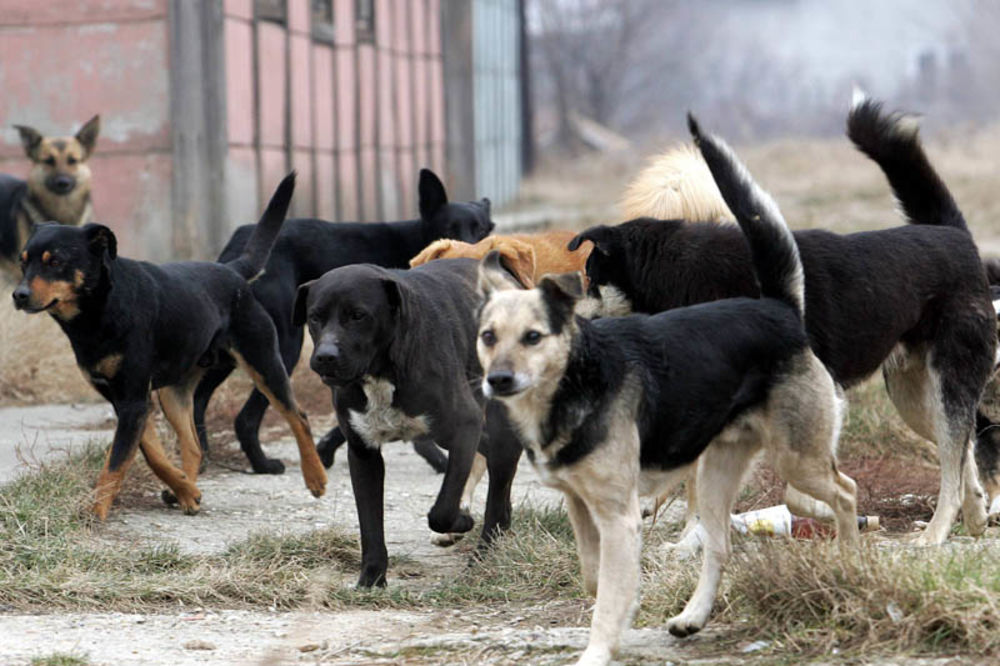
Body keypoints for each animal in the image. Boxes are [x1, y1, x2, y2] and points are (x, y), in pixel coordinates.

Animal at [11, 174, 324, 516]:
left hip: (265, 361)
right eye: (23, 263)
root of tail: (233, 271)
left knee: (299, 417)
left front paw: (96, 513)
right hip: (174, 392)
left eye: (55, 261)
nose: (18, 295)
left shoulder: (134, 400)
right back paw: (185, 489)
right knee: (194, 445)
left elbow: (117, 463)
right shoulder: (128, 401)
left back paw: (315, 477)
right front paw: (186, 491)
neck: (101, 307)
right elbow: (153, 456)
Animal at [192, 169, 492, 474]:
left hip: (234, 347)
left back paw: (201, 458)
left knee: (198, 398)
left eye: (481, 230)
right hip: (281, 346)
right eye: (450, 229)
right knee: (245, 416)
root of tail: (236, 251)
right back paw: (261, 463)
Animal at [476, 116, 860, 660]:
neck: (577, 380)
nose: (499, 380)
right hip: (717, 474)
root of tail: (780, 309)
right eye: (488, 337)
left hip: (797, 458)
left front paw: (599, 649)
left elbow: (607, 593)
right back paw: (693, 616)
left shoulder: (618, 517)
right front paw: (625, 610)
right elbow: (596, 579)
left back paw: (848, 560)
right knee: (718, 544)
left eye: (534, 337)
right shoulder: (583, 507)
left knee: (846, 493)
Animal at [568, 97, 996, 544]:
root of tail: (955, 235)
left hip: (949, 380)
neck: (681, 273)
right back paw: (975, 513)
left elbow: (795, 490)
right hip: (913, 397)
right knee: (960, 449)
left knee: (953, 458)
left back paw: (935, 532)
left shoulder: (815, 394)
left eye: (590, 279)